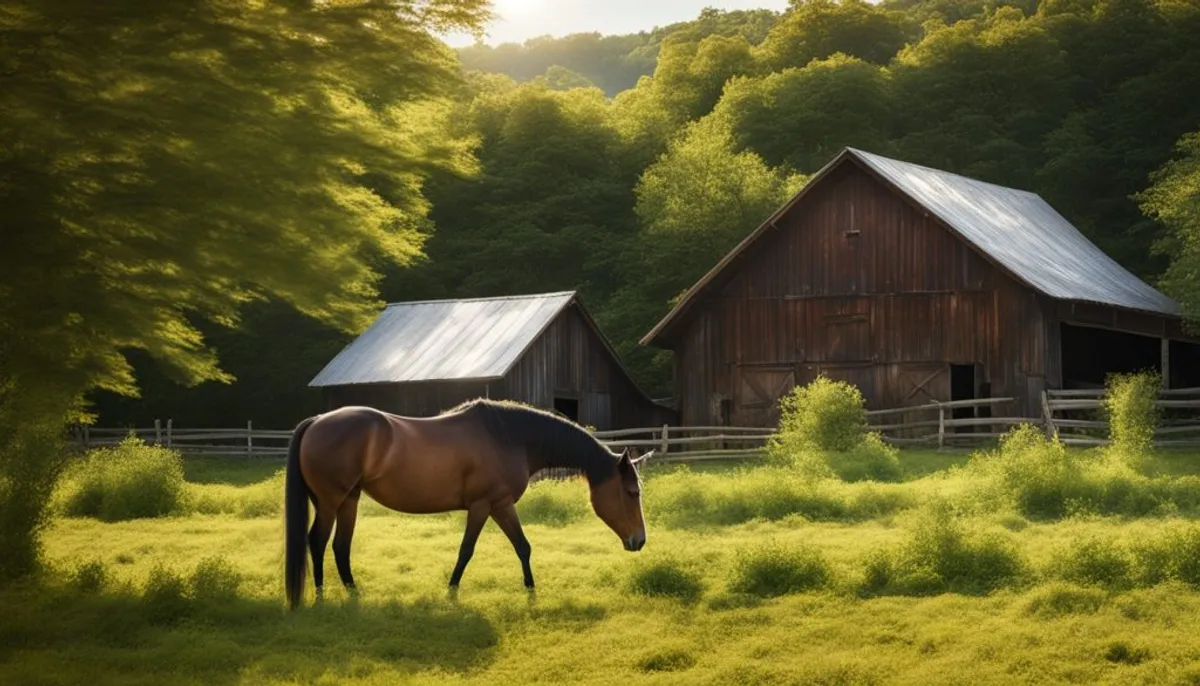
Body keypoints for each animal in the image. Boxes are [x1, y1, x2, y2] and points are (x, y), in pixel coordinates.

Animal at [284, 398, 652, 609]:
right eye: (631, 492)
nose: (639, 541)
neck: (510, 437)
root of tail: (317, 421)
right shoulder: (483, 506)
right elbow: (466, 550)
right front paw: (451, 591)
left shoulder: (501, 505)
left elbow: (523, 546)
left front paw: (531, 591)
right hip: (330, 501)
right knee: (317, 541)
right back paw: (320, 596)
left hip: (349, 499)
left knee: (340, 546)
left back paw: (352, 593)